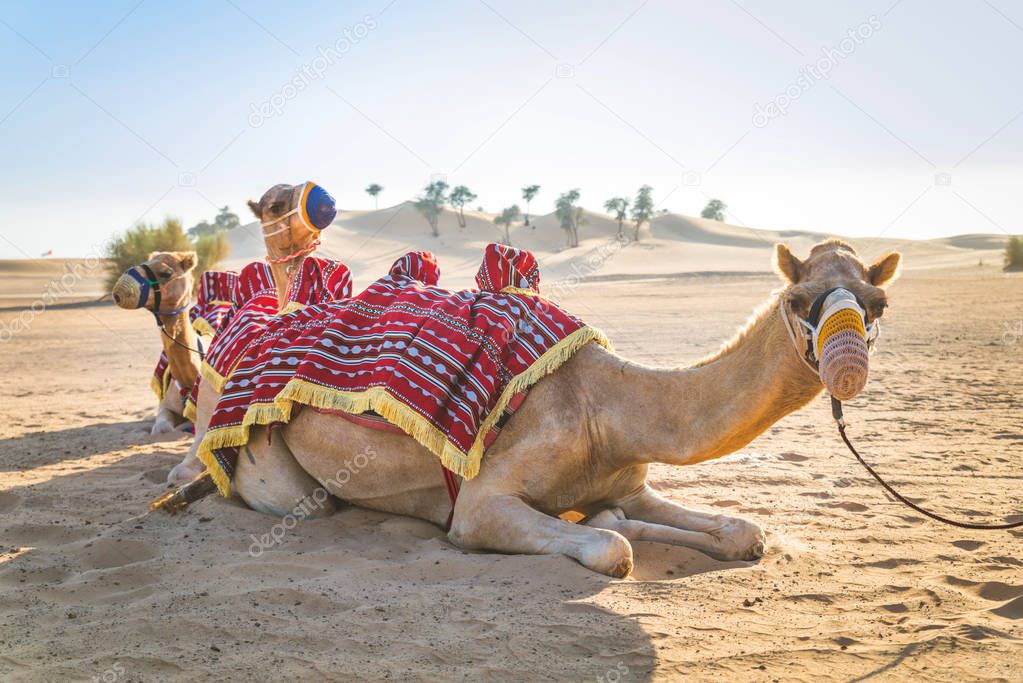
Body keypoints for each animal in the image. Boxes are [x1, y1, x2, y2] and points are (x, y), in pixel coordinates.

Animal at [112, 251, 201, 434]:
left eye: (166, 273)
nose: (120, 290)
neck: (188, 381)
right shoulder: (164, 407)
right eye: (145, 262)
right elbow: (163, 428)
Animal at [170, 184, 901, 577]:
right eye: (800, 298)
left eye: (877, 300)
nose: (847, 369)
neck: (605, 407)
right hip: (259, 457)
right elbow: (610, 544)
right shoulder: (480, 504)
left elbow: (742, 531)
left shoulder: (630, 480)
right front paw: (611, 529)